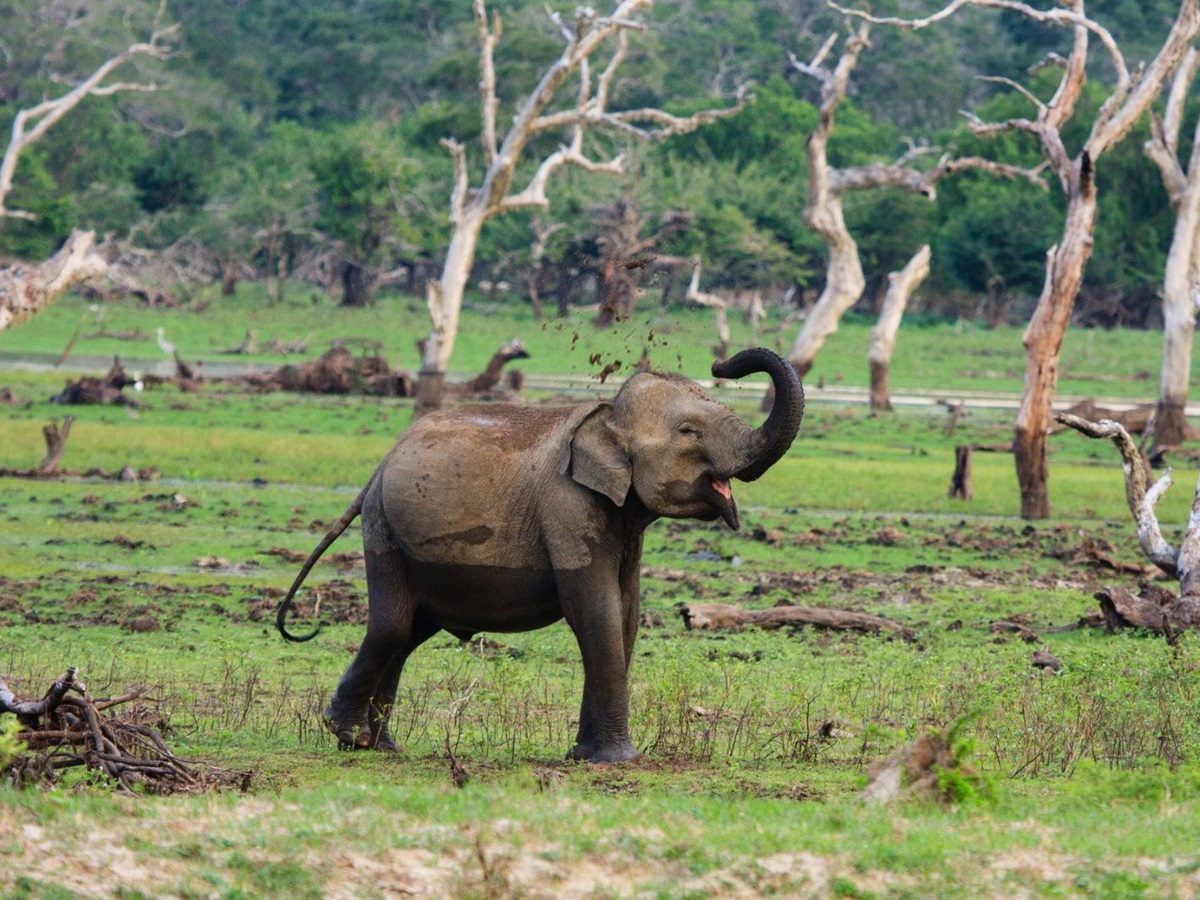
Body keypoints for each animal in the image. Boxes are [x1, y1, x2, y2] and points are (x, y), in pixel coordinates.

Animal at [276, 347, 804, 763]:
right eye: (689, 431)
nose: (720, 362)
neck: (605, 415)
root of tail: (380, 463)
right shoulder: (567, 507)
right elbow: (595, 611)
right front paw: (619, 761)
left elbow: (625, 614)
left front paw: (583, 756)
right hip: (383, 527)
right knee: (392, 625)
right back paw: (349, 736)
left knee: (408, 633)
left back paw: (380, 747)